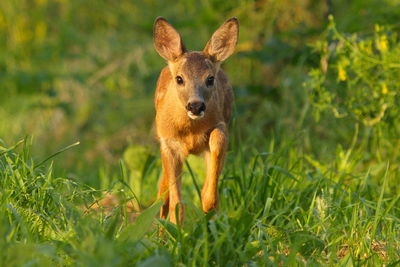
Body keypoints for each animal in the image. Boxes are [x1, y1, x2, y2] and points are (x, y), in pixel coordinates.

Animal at [154, 16, 239, 225]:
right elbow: (176, 202)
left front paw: (209, 206)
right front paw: (177, 227)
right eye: (179, 78)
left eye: (210, 79)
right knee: (162, 194)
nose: (195, 106)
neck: (190, 131)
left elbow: (217, 143)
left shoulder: (221, 126)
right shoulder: (168, 143)